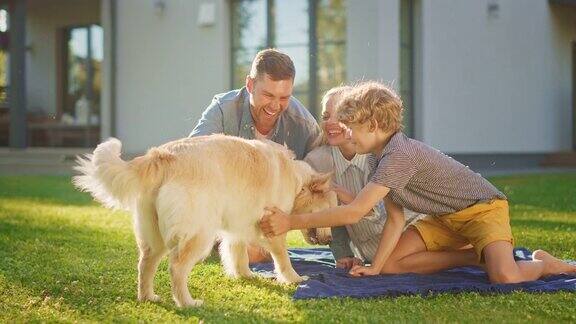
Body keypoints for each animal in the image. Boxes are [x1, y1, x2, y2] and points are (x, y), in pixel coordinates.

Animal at [72, 135, 336, 308]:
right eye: (331, 208)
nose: (331, 238)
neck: (297, 181)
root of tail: (162, 155)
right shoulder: (273, 228)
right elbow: (283, 258)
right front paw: (295, 279)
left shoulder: (237, 227)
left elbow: (238, 254)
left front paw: (246, 275)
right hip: (199, 234)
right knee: (177, 267)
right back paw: (187, 302)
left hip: (154, 236)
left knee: (145, 264)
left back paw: (148, 297)